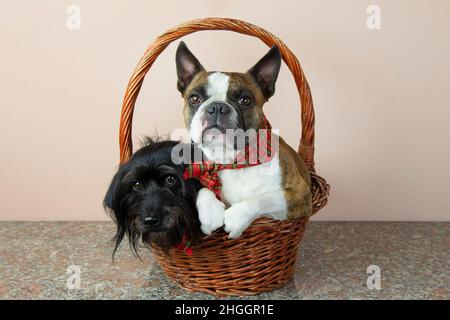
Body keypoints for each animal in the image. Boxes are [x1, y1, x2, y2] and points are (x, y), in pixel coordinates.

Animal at [176, 42, 312, 238]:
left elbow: (265, 198)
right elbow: (202, 187)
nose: (217, 107)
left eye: (245, 100)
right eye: (195, 98)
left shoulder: (300, 195)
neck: (229, 160)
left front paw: (236, 218)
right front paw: (210, 214)